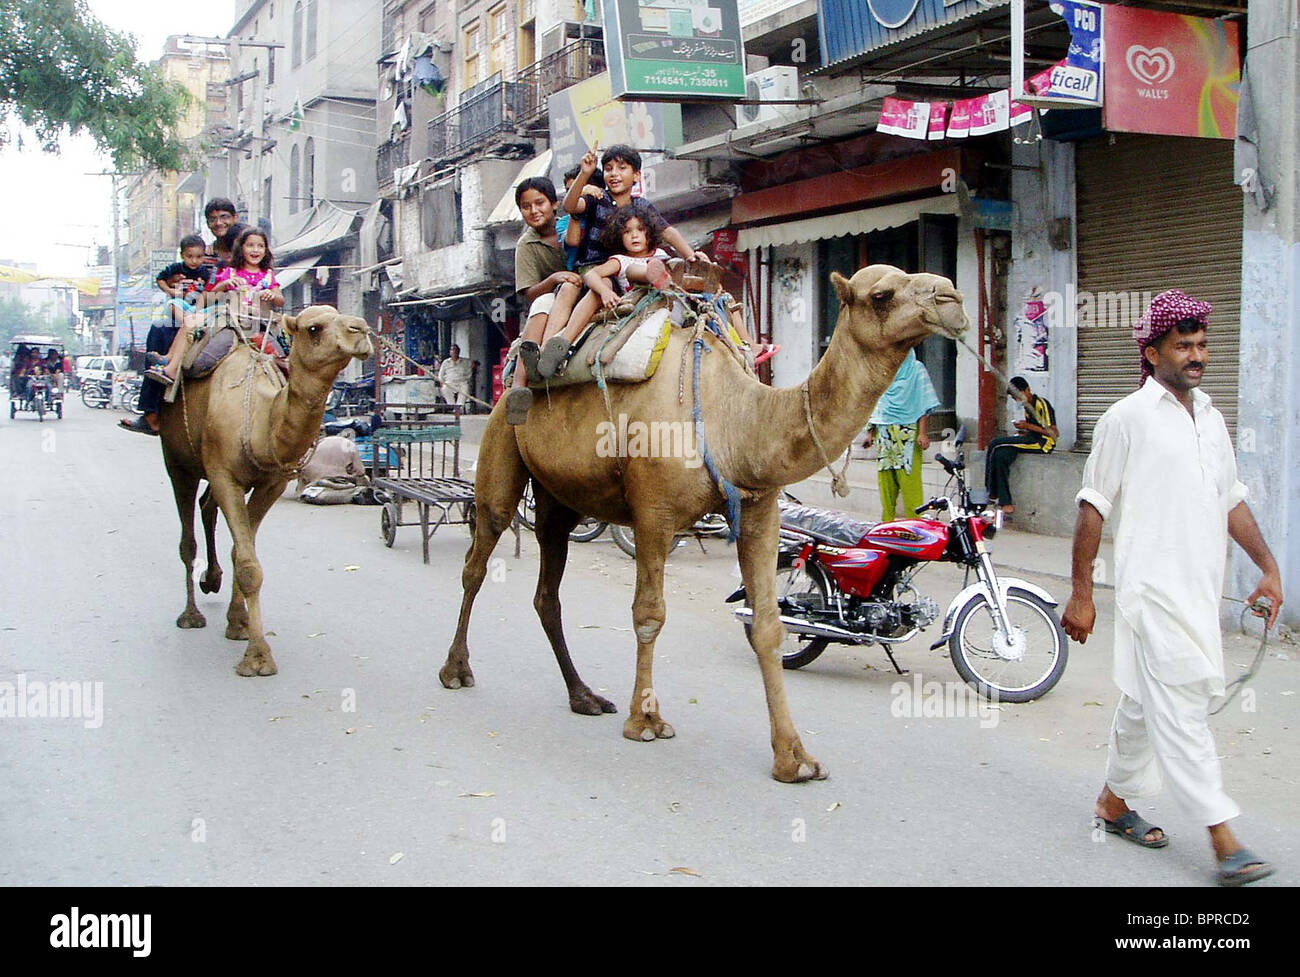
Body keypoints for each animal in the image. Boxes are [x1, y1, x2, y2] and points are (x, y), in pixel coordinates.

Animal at [158, 305, 374, 676]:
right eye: (314, 328)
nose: (360, 329)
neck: (260, 421)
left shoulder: (272, 483)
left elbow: (241, 553)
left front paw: (239, 624)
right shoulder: (224, 475)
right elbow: (248, 565)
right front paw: (258, 657)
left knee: (207, 506)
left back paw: (212, 580)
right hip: (176, 460)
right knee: (187, 538)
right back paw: (190, 614)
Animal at [441, 265, 968, 781]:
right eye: (882, 295)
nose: (953, 299)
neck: (734, 420)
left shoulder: (759, 512)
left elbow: (768, 626)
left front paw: (794, 758)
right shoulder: (653, 513)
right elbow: (649, 614)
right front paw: (645, 721)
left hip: (557, 499)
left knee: (547, 591)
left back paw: (584, 696)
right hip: (502, 445)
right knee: (477, 559)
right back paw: (456, 670)